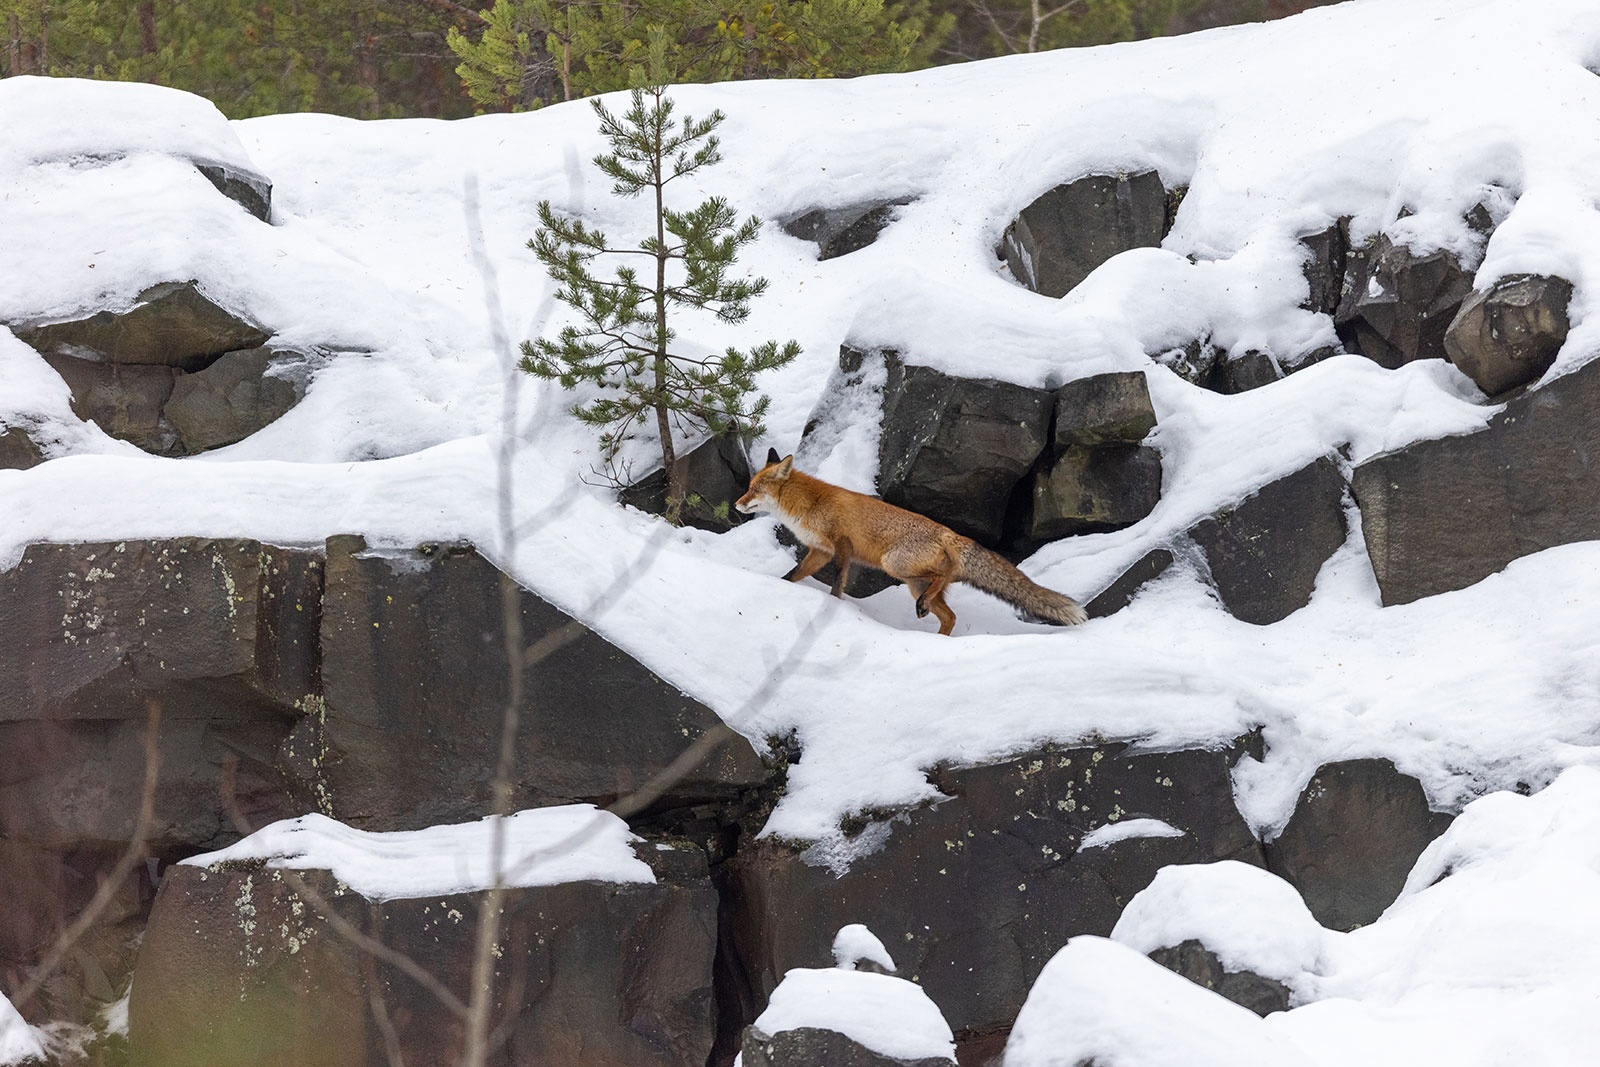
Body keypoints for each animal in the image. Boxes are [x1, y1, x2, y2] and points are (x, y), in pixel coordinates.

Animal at [732, 447, 1088, 633]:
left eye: (753, 489)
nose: (736, 504)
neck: (808, 505)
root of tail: (952, 533)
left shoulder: (842, 546)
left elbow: (838, 583)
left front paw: (833, 607)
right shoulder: (820, 551)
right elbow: (792, 576)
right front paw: (781, 588)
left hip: (895, 565)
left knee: (940, 577)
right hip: (914, 583)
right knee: (949, 614)